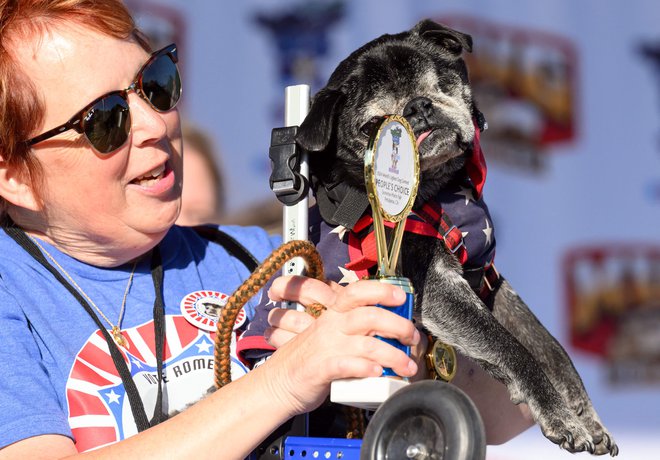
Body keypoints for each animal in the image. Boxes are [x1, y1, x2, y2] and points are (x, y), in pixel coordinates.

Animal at [296, 18, 616, 456]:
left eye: (440, 82)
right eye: (371, 126)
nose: (416, 107)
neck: (439, 189)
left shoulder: (490, 281)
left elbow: (551, 350)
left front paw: (587, 417)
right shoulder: (439, 290)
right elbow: (511, 348)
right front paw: (559, 416)